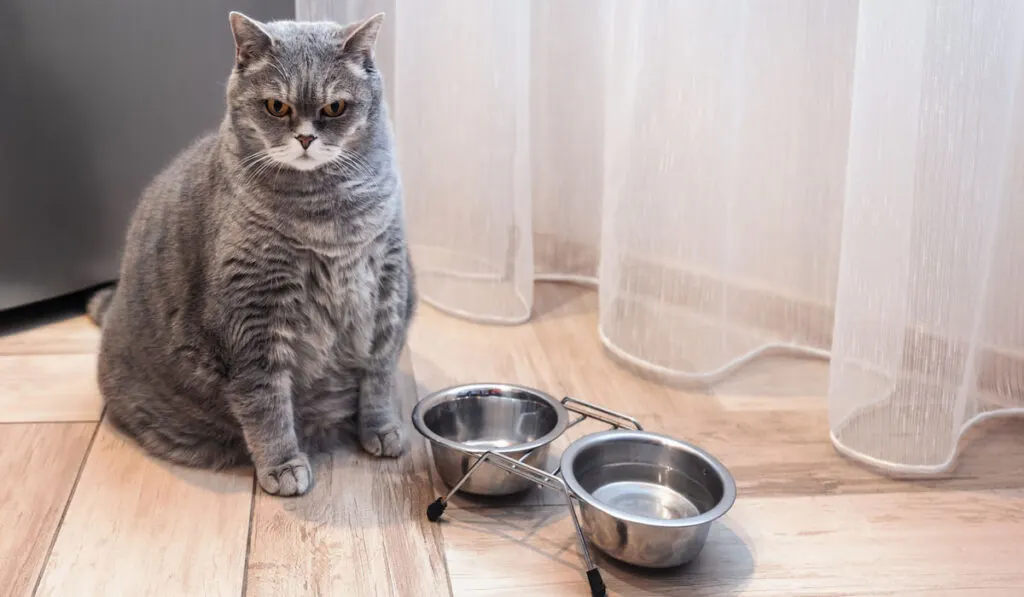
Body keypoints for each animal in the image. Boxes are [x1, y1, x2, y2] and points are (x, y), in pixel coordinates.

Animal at [88, 12, 413, 499]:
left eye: (335, 108)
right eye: (277, 106)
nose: (305, 138)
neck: (329, 219)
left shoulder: (386, 293)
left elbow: (379, 375)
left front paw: (381, 429)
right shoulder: (254, 318)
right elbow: (265, 402)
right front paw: (283, 466)